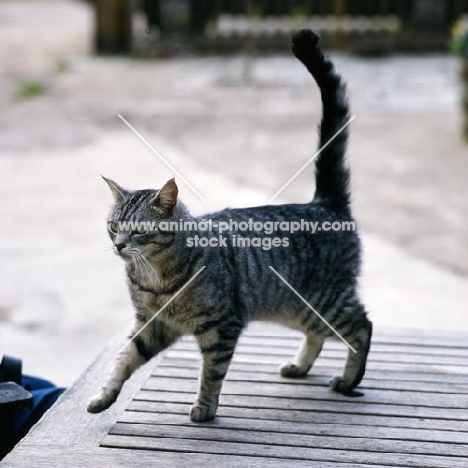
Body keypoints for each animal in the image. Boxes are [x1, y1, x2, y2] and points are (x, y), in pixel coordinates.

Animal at [88, 30, 372, 424]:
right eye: (113, 225)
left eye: (139, 229)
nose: (118, 245)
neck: (154, 279)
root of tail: (324, 201)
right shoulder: (152, 325)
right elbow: (123, 359)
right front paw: (104, 396)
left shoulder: (221, 327)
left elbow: (211, 373)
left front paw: (205, 409)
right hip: (295, 308)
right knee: (318, 335)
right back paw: (299, 367)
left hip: (325, 301)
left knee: (362, 326)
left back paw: (349, 380)